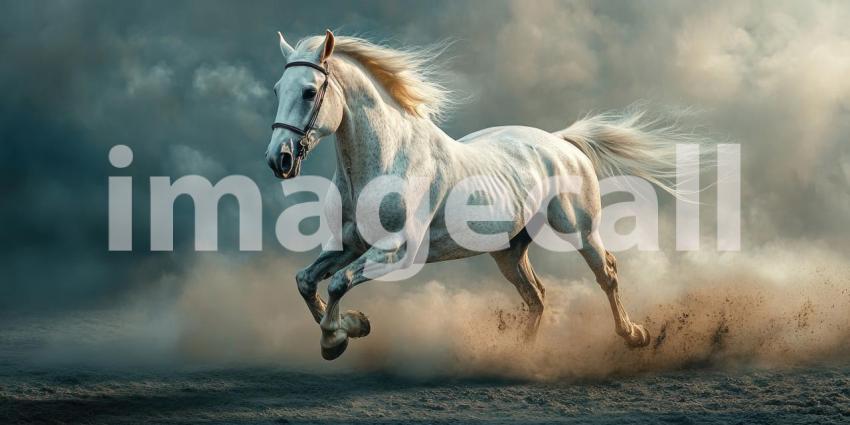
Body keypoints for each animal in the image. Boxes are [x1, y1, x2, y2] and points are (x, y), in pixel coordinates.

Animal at [266, 30, 689, 360]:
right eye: (277, 89)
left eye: (309, 92)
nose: (278, 159)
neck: (385, 162)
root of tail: (561, 141)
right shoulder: (350, 245)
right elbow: (306, 281)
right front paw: (352, 326)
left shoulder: (397, 252)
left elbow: (338, 282)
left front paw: (336, 337)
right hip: (508, 250)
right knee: (536, 296)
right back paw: (520, 359)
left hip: (580, 231)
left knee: (607, 275)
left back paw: (634, 335)